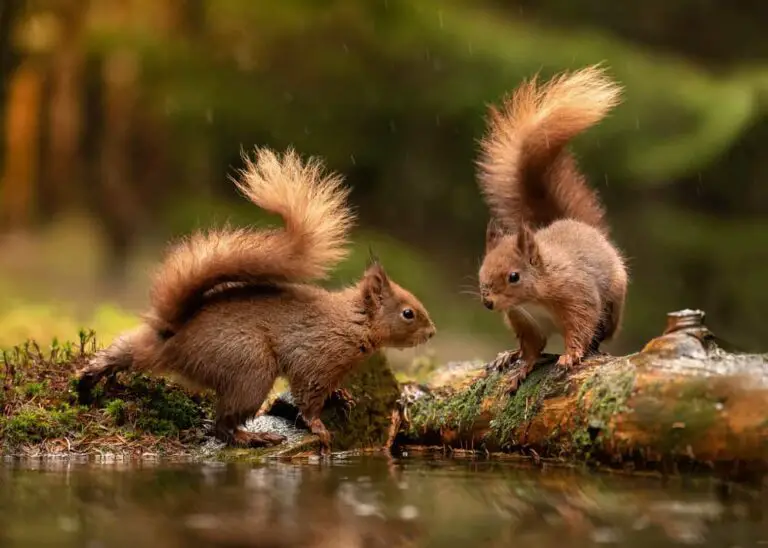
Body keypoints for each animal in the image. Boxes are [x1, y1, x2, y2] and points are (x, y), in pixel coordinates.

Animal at [79, 148, 438, 452]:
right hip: (250, 368)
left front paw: (341, 395)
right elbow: (307, 396)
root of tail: (174, 341)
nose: (432, 333)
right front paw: (318, 426)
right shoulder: (315, 357)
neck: (352, 322)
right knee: (221, 426)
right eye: (408, 313)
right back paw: (254, 437)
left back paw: (88, 377)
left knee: (126, 350)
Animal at [476, 65, 628, 390]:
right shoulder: (524, 322)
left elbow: (580, 329)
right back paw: (508, 356)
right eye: (481, 271)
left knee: (598, 334)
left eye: (514, 276)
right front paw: (522, 367)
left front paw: (571, 356)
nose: (488, 303)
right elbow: (532, 349)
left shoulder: (578, 298)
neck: (534, 300)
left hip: (612, 308)